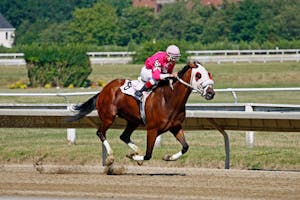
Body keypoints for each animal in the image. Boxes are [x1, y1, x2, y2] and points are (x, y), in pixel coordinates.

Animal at [68, 61, 213, 165]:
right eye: (198, 75)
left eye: (209, 74)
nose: (211, 93)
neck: (168, 99)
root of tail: (104, 89)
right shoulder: (152, 129)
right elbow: (148, 154)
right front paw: (133, 156)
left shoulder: (175, 127)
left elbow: (185, 146)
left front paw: (168, 157)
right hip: (109, 117)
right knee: (100, 133)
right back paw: (111, 157)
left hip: (133, 121)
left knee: (124, 136)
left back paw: (135, 152)